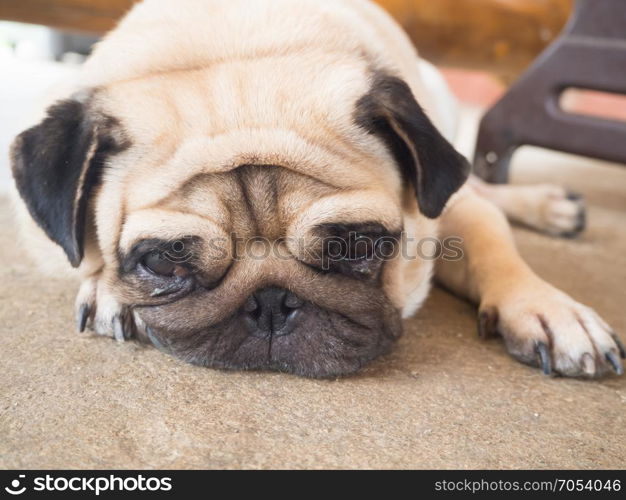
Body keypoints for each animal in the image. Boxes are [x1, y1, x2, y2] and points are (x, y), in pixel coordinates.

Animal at [8, 0, 620, 376]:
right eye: (163, 261)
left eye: (357, 245)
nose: (270, 303)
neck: (235, 52)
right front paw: (107, 289)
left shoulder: (448, 209)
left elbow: (490, 240)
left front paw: (546, 308)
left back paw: (549, 205)